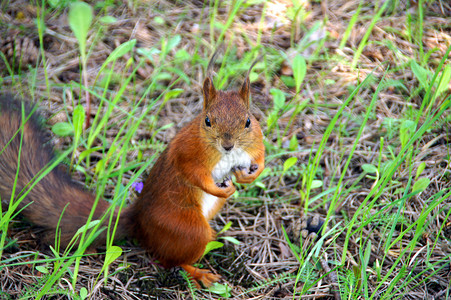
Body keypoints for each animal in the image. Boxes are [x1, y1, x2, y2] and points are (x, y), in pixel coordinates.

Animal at [0, 59, 266, 288]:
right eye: (208, 121)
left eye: (248, 121)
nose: (228, 145)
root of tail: (138, 221)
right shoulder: (187, 153)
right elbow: (193, 174)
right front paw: (222, 189)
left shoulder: (255, 143)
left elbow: (261, 158)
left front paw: (250, 176)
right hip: (187, 228)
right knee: (170, 260)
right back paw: (198, 273)